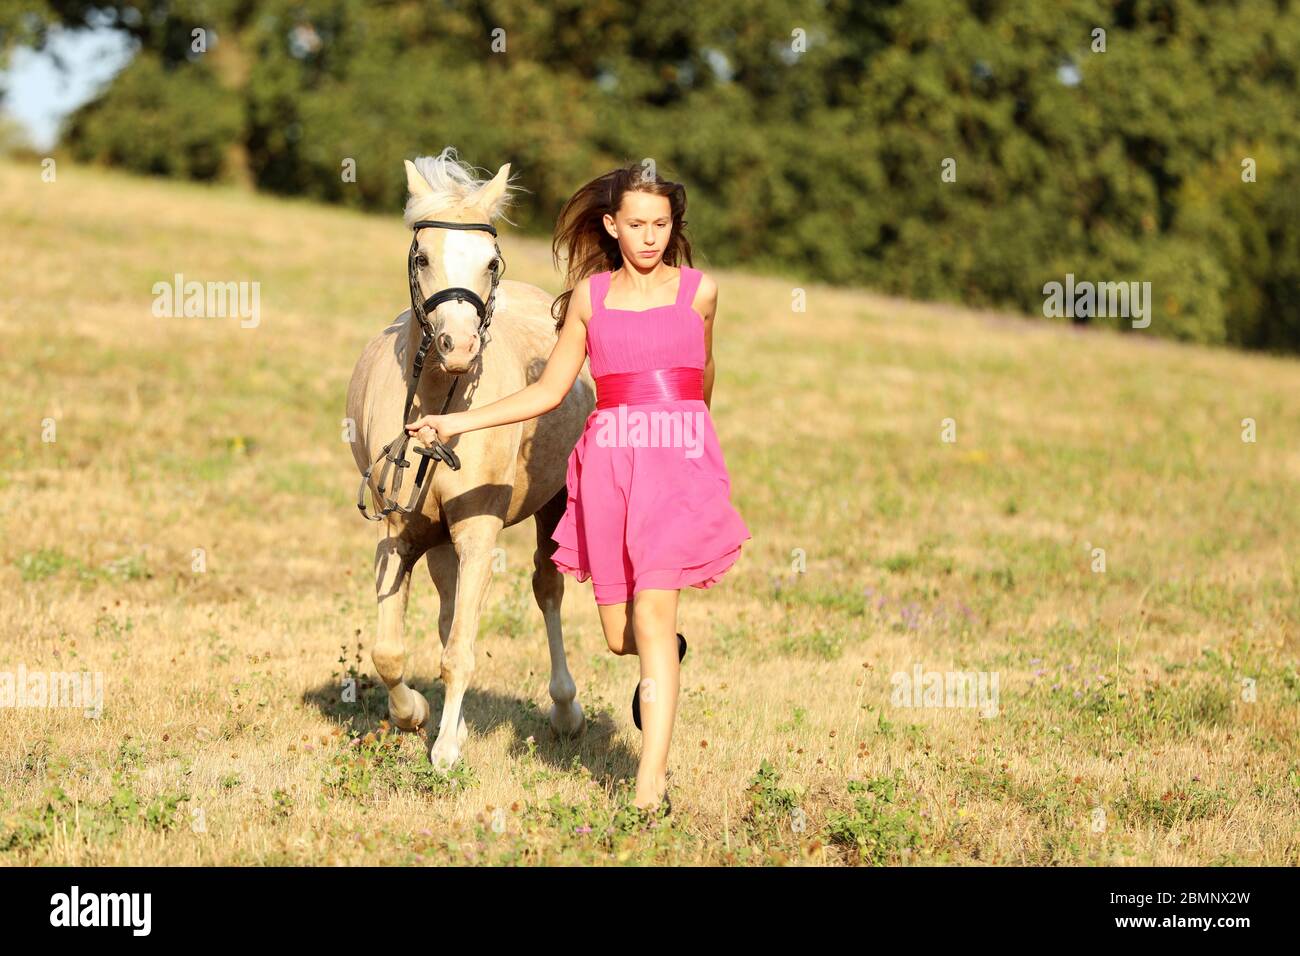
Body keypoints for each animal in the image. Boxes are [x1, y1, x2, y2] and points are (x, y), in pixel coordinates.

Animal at [343, 151, 592, 770]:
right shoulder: (398, 530)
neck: (440, 402)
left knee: (546, 590)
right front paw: (415, 714)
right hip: (439, 541)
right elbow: (390, 650)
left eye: (491, 260)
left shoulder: (479, 531)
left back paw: (566, 710)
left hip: (552, 506)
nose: (458, 348)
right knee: (449, 608)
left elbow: (459, 651)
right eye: (423, 256)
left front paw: (447, 747)